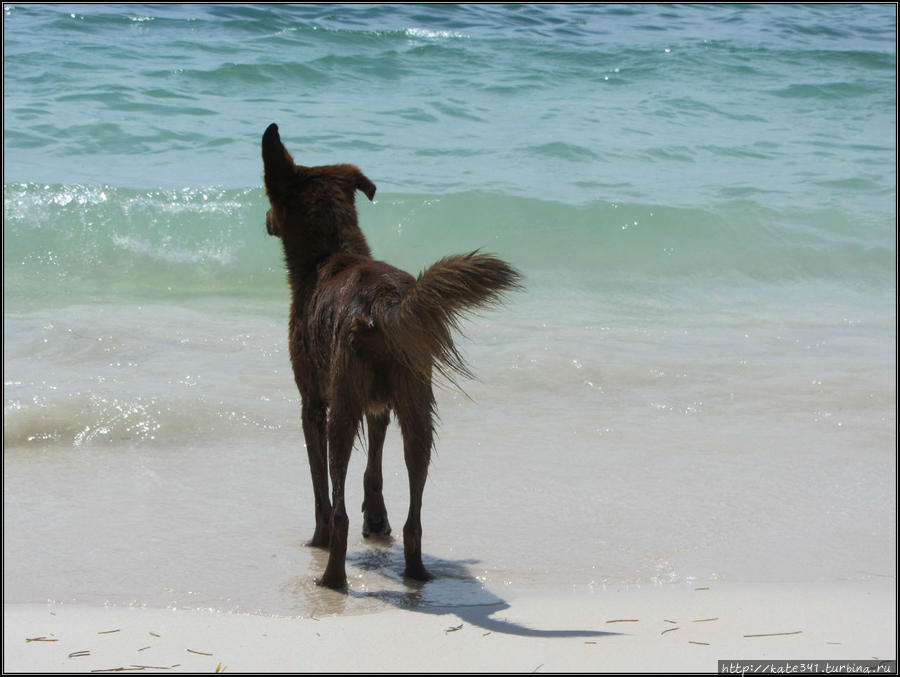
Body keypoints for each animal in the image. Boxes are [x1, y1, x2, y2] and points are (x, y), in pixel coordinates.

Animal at [260, 123, 520, 588]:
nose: (265, 221)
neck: (330, 252)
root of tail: (384, 302)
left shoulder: (313, 402)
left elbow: (320, 486)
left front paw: (318, 537)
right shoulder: (380, 404)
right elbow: (375, 465)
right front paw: (377, 521)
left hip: (342, 413)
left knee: (339, 507)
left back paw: (332, 576)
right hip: (417, 407)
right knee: (415, 513)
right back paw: (415, 570)